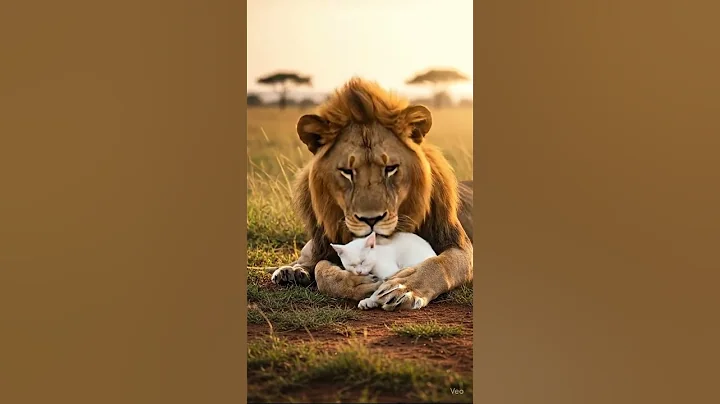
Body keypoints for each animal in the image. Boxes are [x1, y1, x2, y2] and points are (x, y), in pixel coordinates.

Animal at [270, 77, 473, 311]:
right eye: (347, 171)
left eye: (390, 168)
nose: (371, 219)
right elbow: (322, 269)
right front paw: (358, 283)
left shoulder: (460, 246)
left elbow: (439, 265)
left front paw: (404, 288)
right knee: (310, 255)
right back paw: (291, 271)